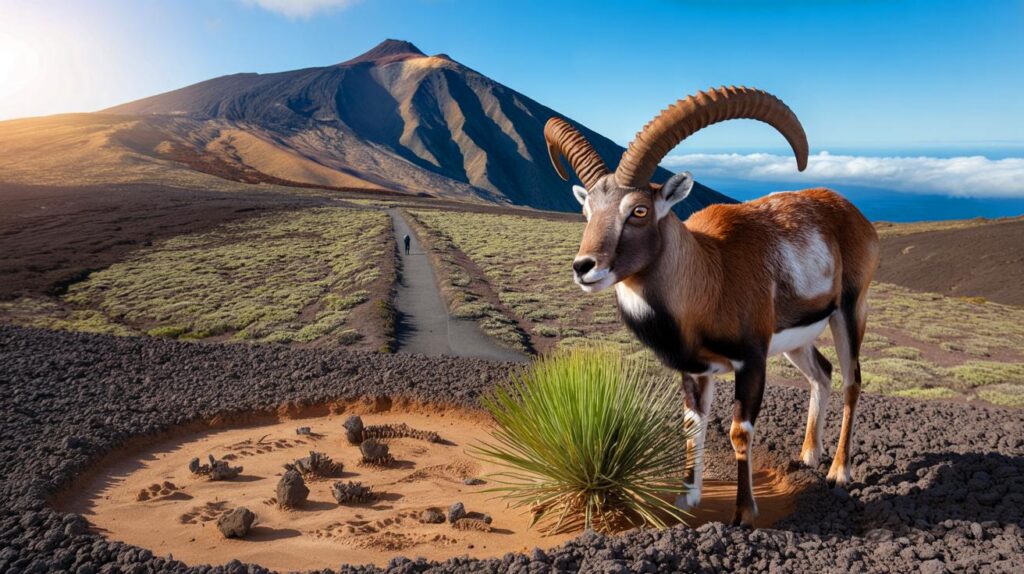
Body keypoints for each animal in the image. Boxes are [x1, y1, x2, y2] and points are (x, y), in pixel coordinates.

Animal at [544, 86, 879, 527]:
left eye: (638, 210)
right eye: (586, 211)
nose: (585, 267)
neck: (710, 277)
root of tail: (851, 213)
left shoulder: (751, 361)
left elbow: (740, 430)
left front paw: (744, 512)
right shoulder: (695, 370)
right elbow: (692, 424)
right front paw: (685, 500)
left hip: (849, 312)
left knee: (852, 379)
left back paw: (839, 471)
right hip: (795, 342)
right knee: (822, 373)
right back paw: (808, 455)